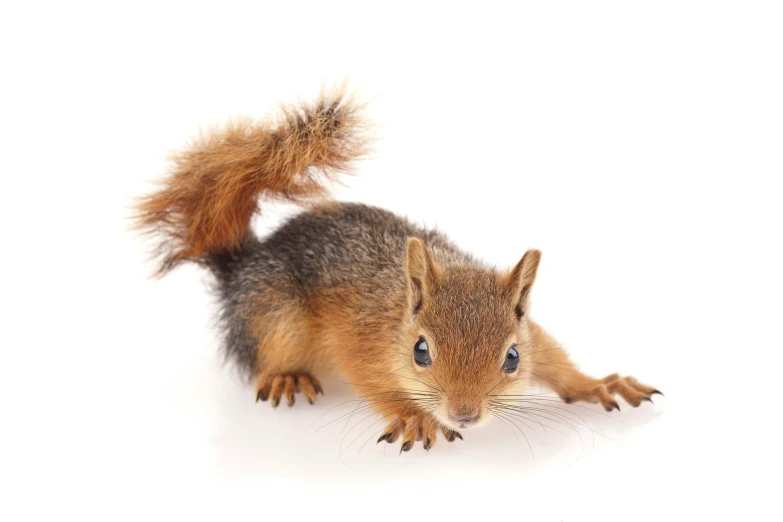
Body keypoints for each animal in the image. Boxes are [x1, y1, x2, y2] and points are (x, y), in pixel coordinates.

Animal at [136, 86, 660, 450]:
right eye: (420, 352)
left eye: (512, 358)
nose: (464, 414)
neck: (398, 310)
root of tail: (246, 262)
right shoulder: (359, 340)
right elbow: (370, 380)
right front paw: (411, 415)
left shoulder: (534, 336)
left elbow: (557, 361)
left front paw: (600, 384)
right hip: (275, 315)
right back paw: (286, 376)